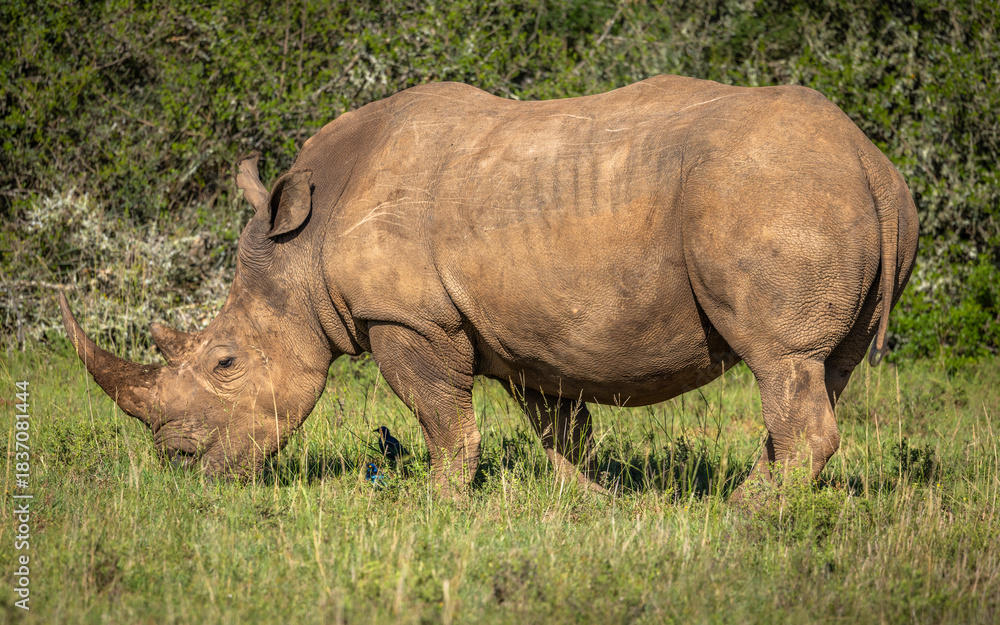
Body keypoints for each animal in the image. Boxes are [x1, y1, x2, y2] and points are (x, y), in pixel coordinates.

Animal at [61, 75, 919, 498]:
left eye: (226, 362)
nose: (180, 464)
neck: (303, 246)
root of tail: (871, 160)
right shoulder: (532, 330)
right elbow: (561, 428)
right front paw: (590, 504)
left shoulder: (407, 318)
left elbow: (441, 418)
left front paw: (437, 503)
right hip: (815, 190)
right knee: (822, 370)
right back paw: (764, 495)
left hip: (772, 192)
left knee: (782, 362)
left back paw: (750, 511)